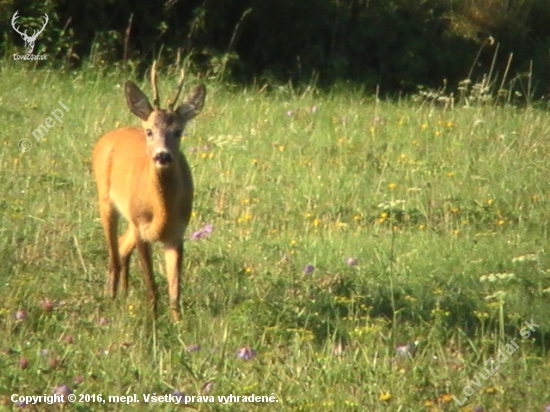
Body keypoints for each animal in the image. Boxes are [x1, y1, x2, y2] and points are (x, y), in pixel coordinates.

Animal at [92, 62, 207, 320]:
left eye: (178, 131)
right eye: (149, 131)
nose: (162, 155)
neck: (161, 210)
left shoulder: (178, 232)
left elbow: (175, 290)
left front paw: (178, 323)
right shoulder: (141, 227)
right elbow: (152, 286)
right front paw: (152, 320)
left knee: (122, 247)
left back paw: (123, 294)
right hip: (106, 199)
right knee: (113, 254)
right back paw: (110, 297)